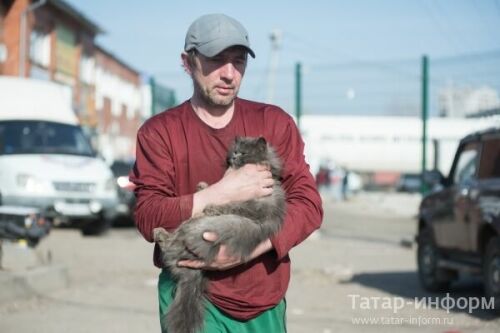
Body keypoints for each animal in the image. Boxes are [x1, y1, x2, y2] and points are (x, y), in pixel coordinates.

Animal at [152, 136, 286, 332]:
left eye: (243, 153)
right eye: (234, 151)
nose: (234, 157)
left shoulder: (257, 207)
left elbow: (234, 205)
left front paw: (213, 207)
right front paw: (202, 187)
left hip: (192, 227)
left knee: (169, 243)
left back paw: (160, 233)